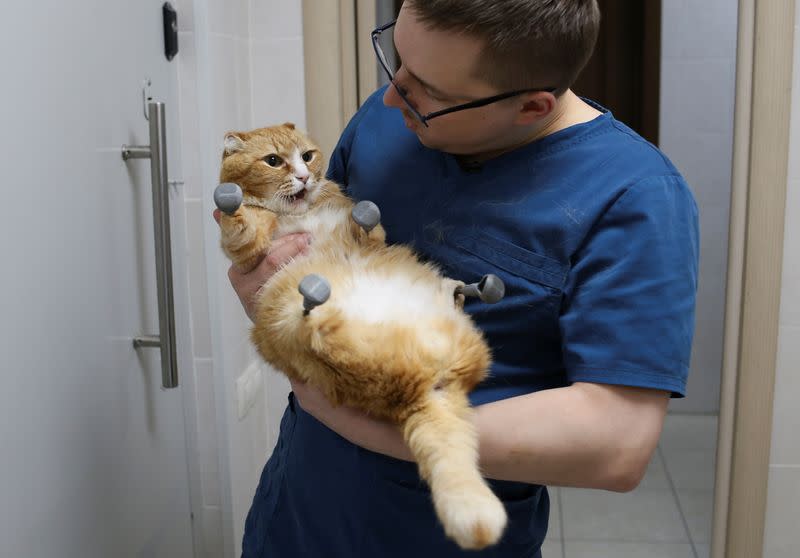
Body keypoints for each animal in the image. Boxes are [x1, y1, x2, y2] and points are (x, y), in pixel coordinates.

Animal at [214, 123, 506, 552]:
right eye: (273, 161)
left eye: (308, 156)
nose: (304, 176)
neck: (300, 213)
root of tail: (420, 387)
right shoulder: (248, 253)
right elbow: (240, 227)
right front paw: (231, 207)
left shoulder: (371, 235)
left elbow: (368, 226)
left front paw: (360, 216)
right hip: (287, 326)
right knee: (315, 334)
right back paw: (317, 311)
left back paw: (459, 289)